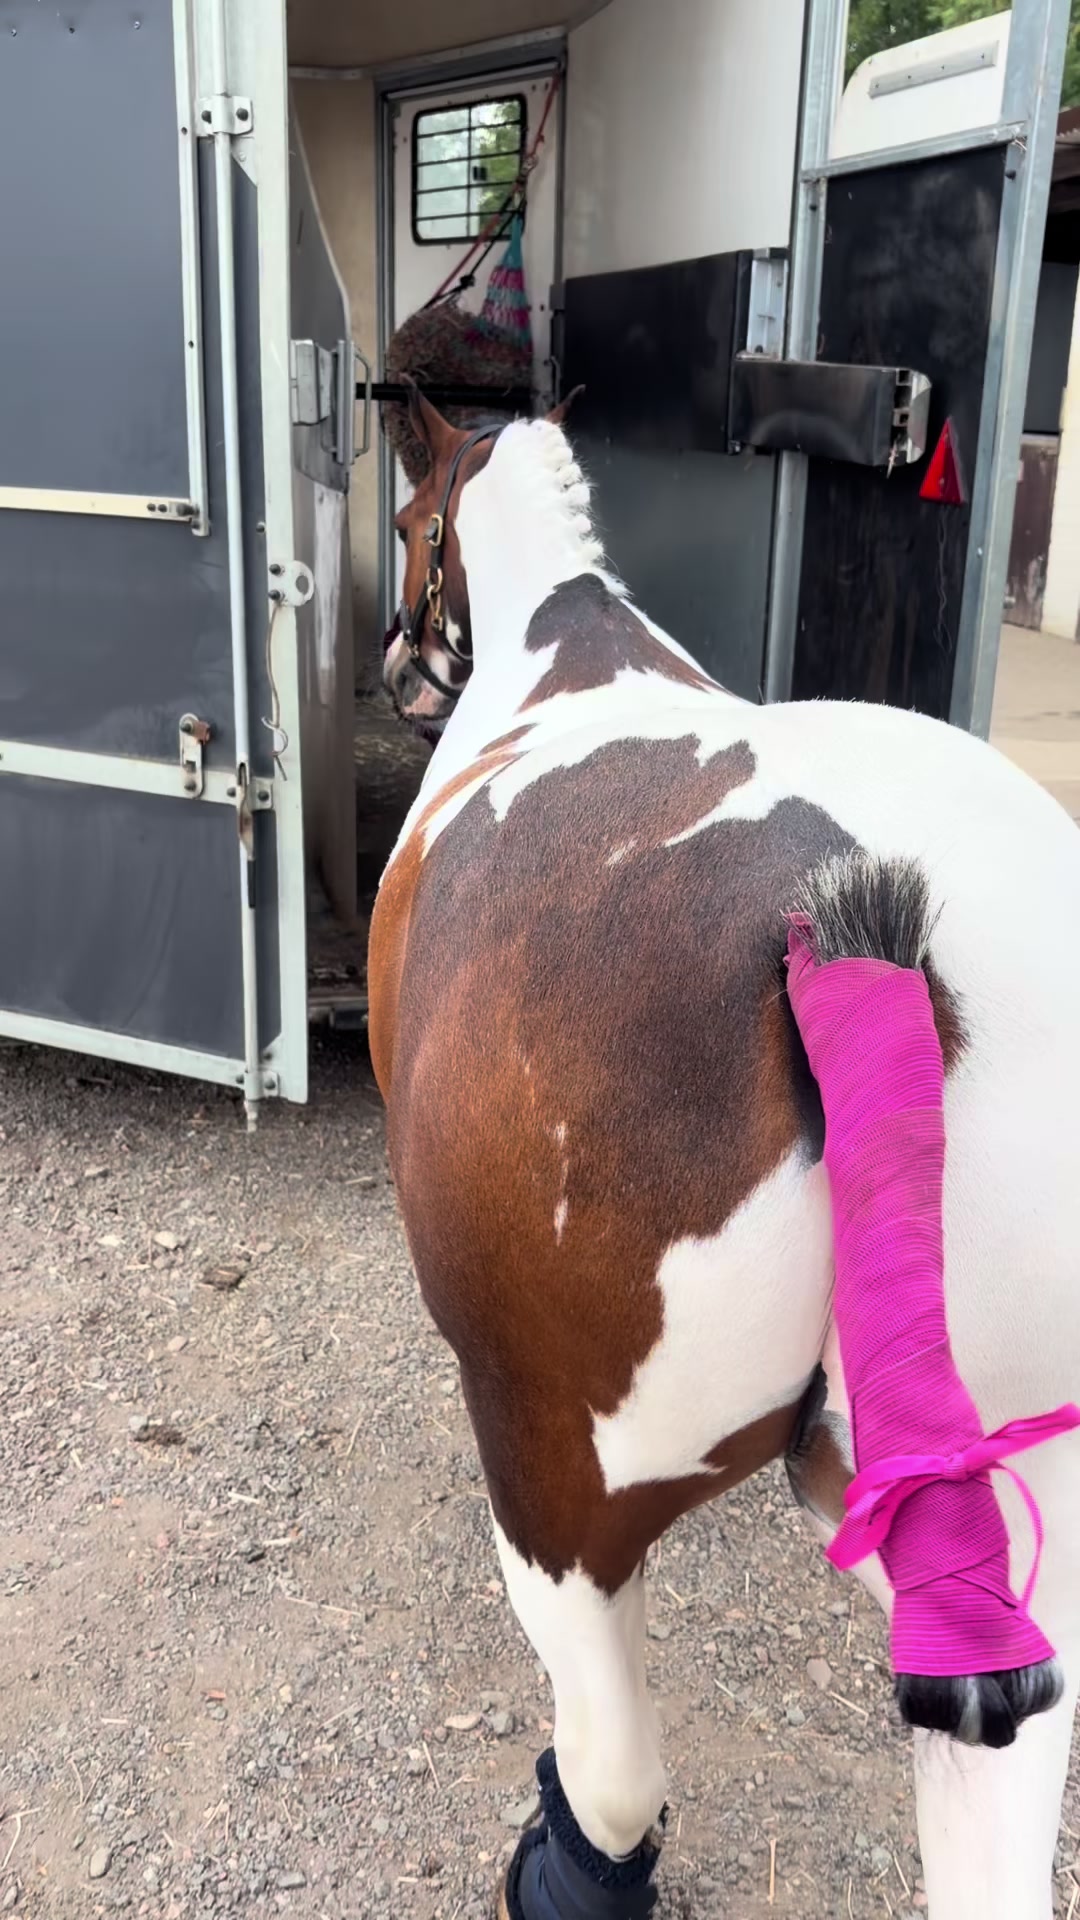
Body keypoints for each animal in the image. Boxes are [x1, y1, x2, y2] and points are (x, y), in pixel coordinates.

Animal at [369, 385, 1080, 1920]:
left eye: (405, 525)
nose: (397, 665)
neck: (564, 648)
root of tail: (879, 951)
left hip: (562, 1496)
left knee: (614, 1771)